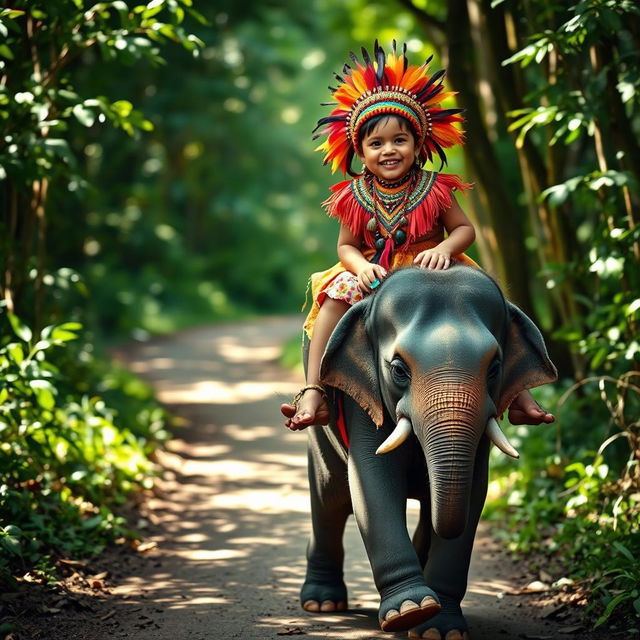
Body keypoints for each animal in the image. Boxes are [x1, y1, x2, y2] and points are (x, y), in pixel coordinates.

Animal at [298, 262, 556, 636]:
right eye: (398, 370)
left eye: (494, 368)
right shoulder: (363, 401)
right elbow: (373, 483)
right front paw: (410, 611)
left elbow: (475, 491)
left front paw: (439, 628)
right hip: (321, 430)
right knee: (329, 498)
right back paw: (322, 603)